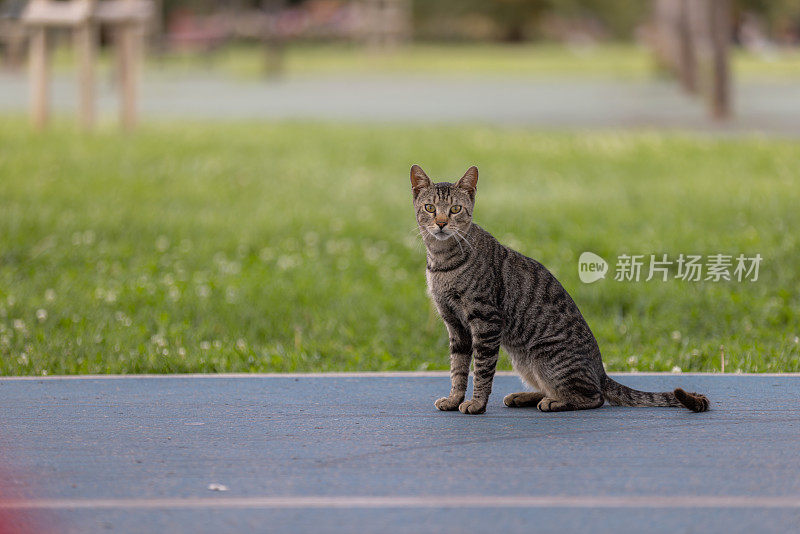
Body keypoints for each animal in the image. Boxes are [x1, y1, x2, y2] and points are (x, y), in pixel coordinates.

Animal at [410, 165, 708, 416]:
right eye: (430, 207)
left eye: (455, 209)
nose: (441, 223)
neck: (442, 262)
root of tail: (600, 371)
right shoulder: (455, 325)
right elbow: (458, 369)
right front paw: (454, 399)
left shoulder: (486, 321)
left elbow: (481, 370)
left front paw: (477, 403)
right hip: (525, 362)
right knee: (555, 389)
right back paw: (527, 396)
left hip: (547, 359)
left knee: (594, 397)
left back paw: (553, 402)